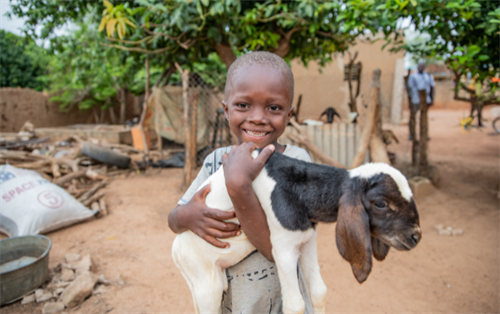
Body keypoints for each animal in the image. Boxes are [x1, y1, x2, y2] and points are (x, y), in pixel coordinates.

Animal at [173, 150, 422, 314]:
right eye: (381, 203)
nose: (416, 236)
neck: (299, 189)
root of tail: (176, 249)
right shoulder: (282, 248)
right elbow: (295, 305)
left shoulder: (306, 239)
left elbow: (319, 292)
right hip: (204, 282)